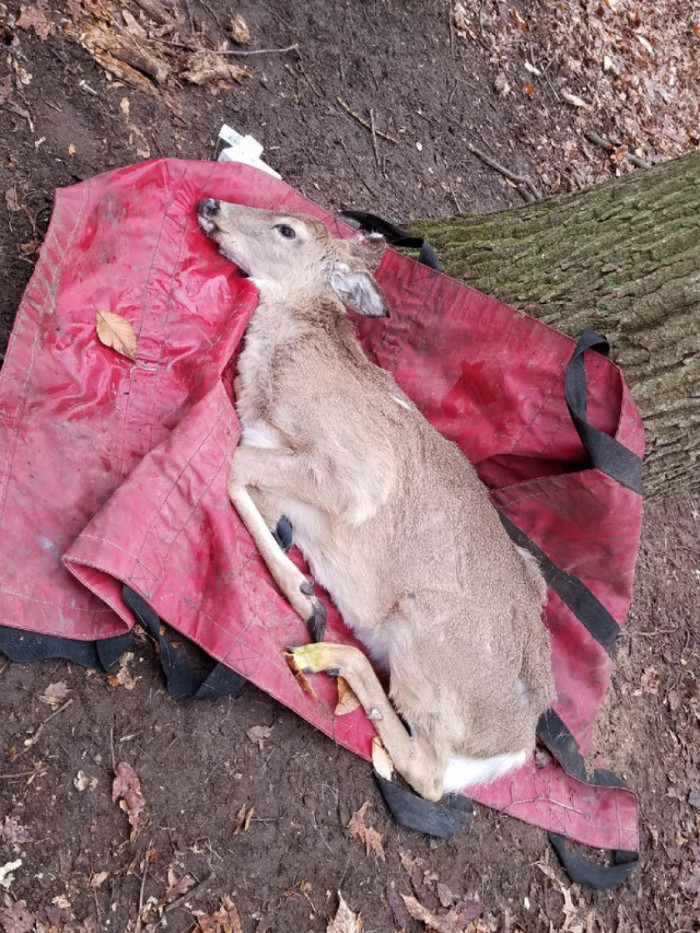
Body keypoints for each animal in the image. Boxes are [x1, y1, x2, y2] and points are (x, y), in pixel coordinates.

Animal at [196, 198, 552, 800]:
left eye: (286, 229)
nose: (210, 203)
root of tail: (513, 744)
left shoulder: (356, 476)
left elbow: (233, 465)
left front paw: (304, 596)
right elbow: (250, 482)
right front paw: (296, 564)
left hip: (425, 630)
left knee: (428, 774)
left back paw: (324, 652)